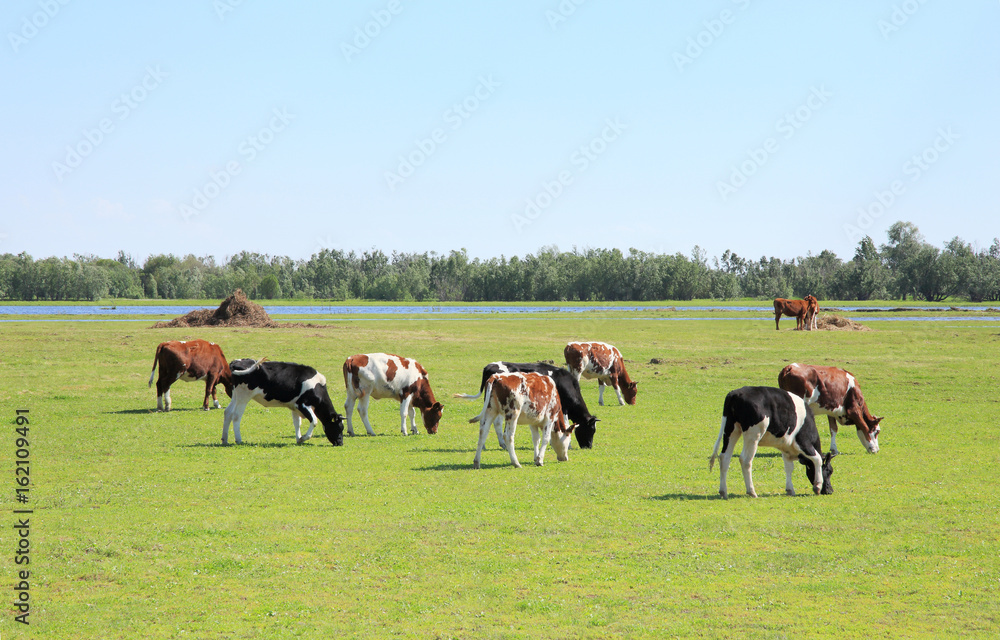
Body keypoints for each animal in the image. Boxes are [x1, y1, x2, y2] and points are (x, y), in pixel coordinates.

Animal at [456, 360, 600, 450]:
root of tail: (489, 367)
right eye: (591, 429)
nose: (589, 446)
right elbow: (564, 423)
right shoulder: (562, 408)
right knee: (496, 422)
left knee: (485, 421)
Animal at [708, 388, 840, 498]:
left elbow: (789, 467)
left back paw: (723, 492)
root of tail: (735, 393)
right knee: (745, 460)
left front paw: (790, 489)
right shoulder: (803, 442)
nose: (830, 491)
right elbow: (817, 459)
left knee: (724, 457)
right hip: (753, 435)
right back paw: (752, 492)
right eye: (829, 471)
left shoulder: (786, 448)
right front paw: (817, 486)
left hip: (731, 429)